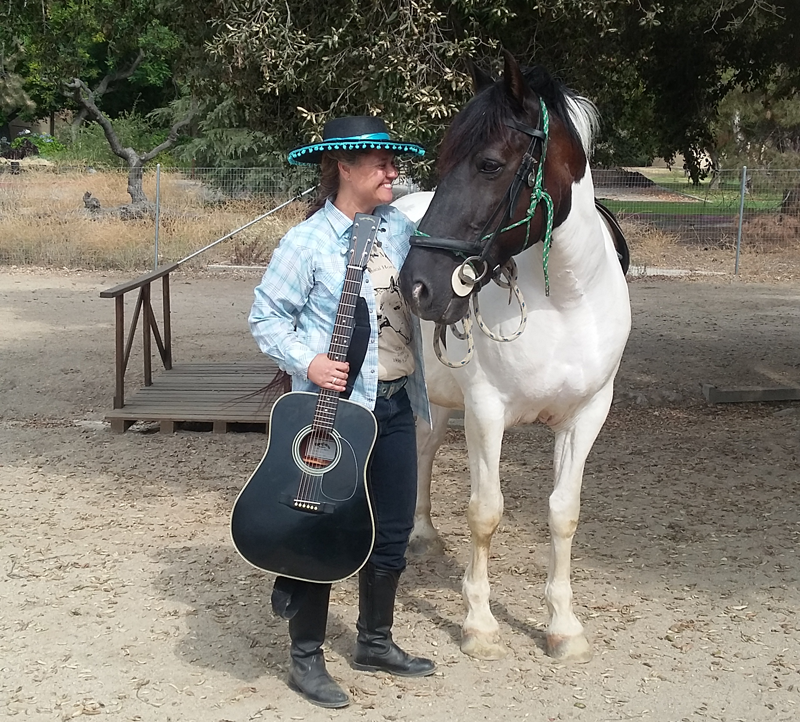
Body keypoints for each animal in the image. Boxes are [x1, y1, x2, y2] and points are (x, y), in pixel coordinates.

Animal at [394, 51, 631, 662]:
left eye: (489, 164)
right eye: (442, 159)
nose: (417, 285)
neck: (566, 300)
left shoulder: (587, 416)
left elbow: (564, 513)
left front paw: (564, 628)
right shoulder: (486, 411)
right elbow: (486, 512)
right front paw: (479, 625)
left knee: (426, 447)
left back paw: (422, 533)